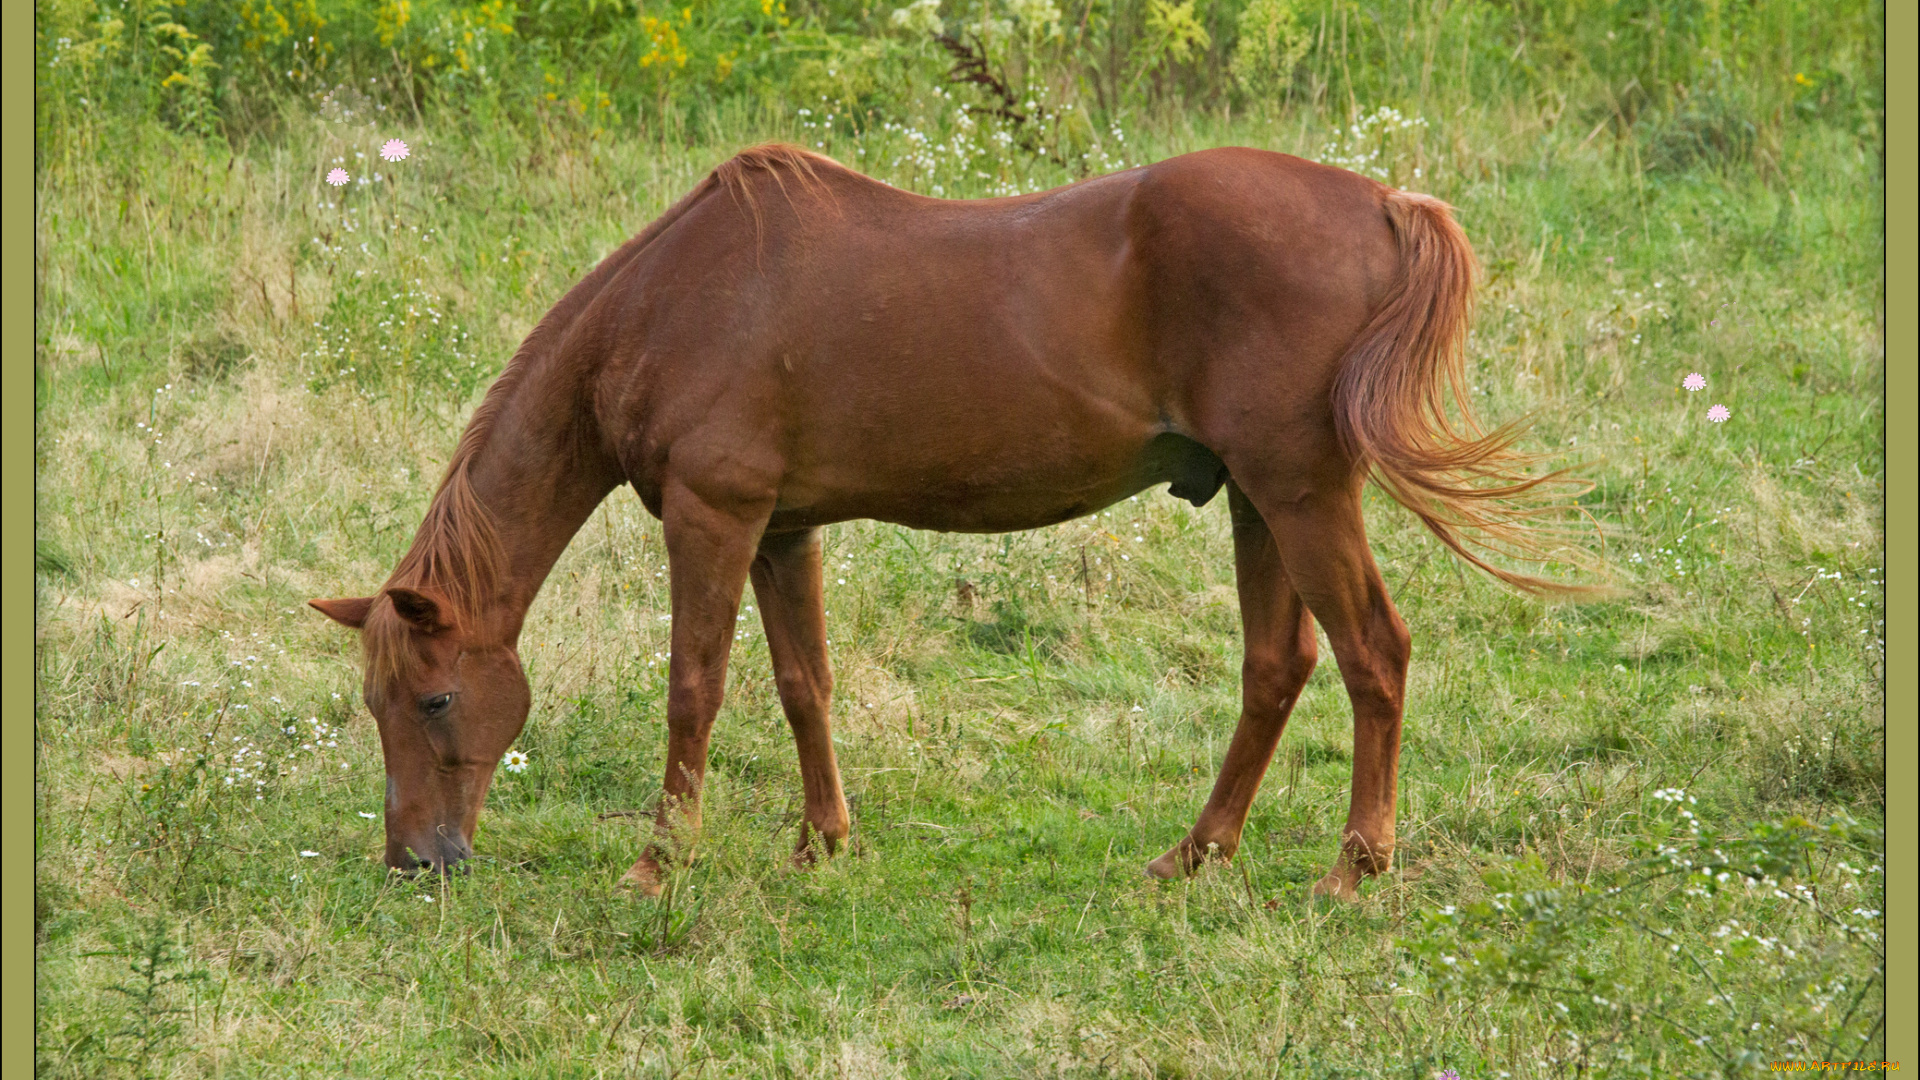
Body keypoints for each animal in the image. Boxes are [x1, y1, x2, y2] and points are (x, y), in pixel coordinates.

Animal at [311, 145, 1574, 899]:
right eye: (375, 703)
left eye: (433, 699)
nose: (416, 860)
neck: (670, 303)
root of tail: (1383, 204)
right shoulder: (781, 529)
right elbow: (803, 684)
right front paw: (823, 841)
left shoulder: (714, 519)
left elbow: (694, 689)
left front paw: (659, 866)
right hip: (1261, 501)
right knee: (1279, 666)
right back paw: (1195, 854)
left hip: (1304, 492)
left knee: (1372, 654)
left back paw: (1357, 866)